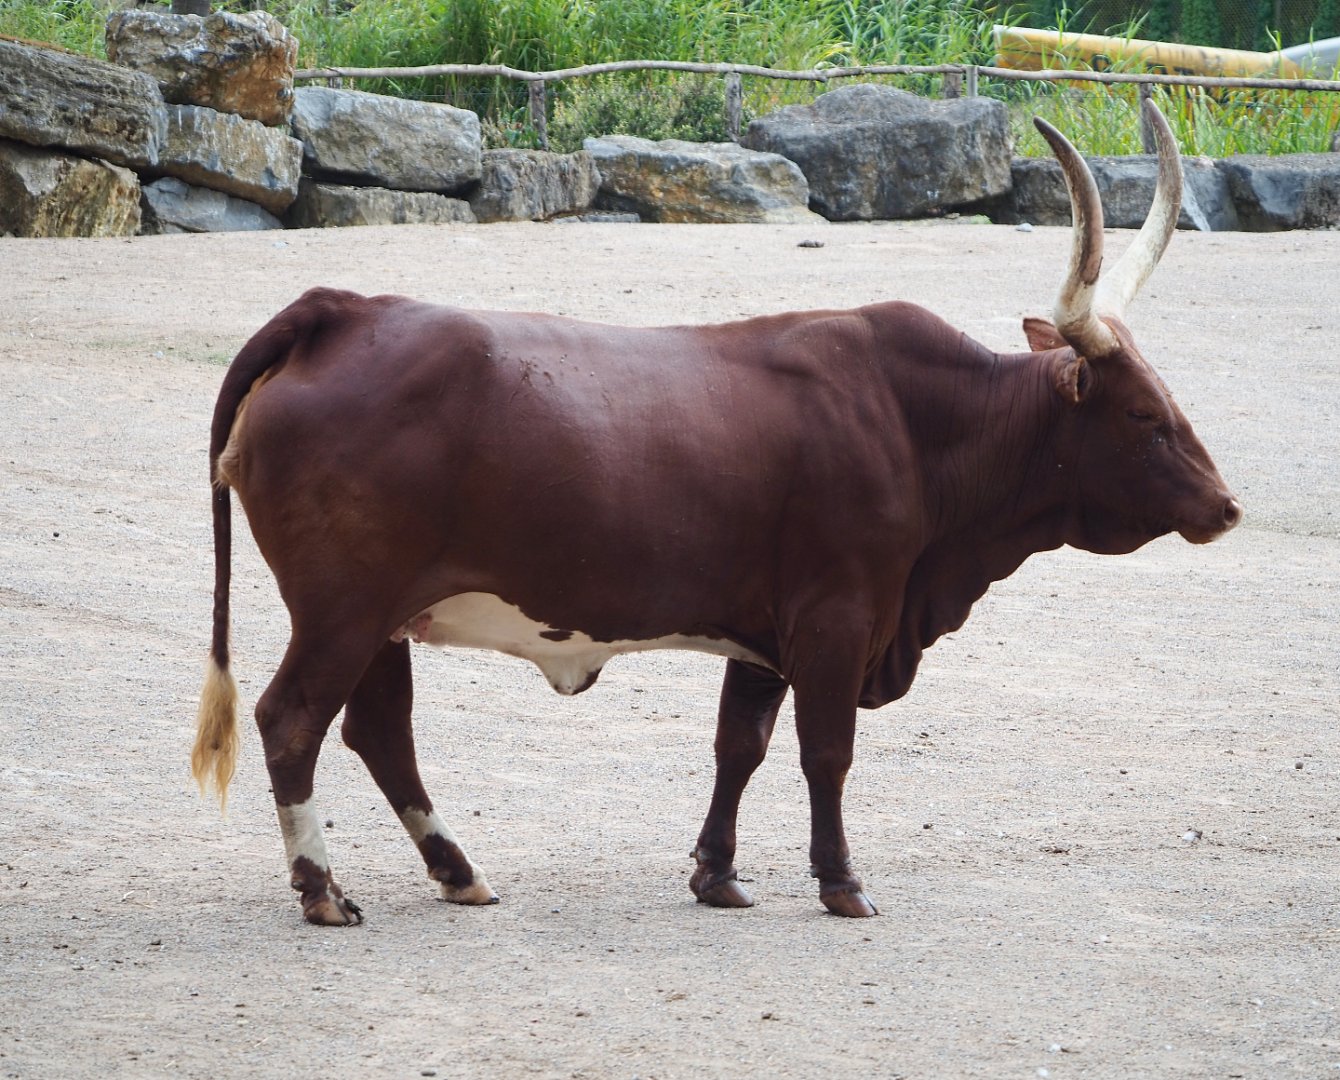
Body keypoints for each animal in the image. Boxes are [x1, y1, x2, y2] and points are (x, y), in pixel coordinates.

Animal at [194, 101, 1241, 926]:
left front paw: (717, 874)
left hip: (381, 617)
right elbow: (826, 753)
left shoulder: (765, 632)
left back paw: (458, 873)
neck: (914, 420)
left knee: (380, 733)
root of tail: (341, 310)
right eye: (1143, 416)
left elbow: (740, 747)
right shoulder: (836, 619)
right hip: (342, 609)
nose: (1226, 508)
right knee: (293, 721)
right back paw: (324, 891)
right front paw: (841, 883)